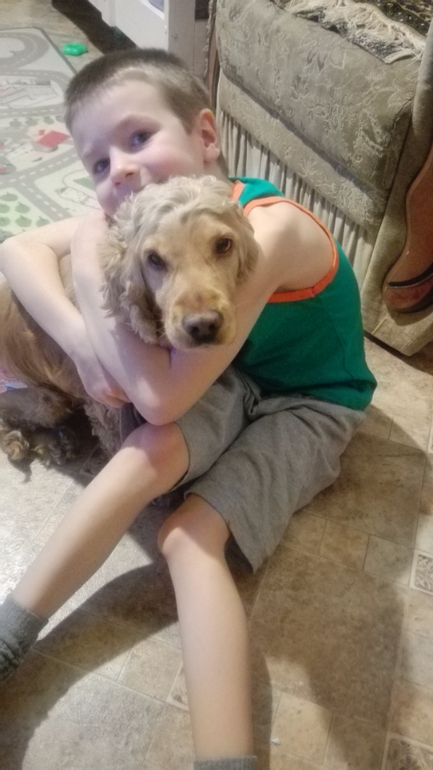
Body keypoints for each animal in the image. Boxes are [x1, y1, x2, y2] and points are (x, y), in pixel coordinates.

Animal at [0, 176, 259, 465]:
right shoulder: (106, 408)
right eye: (154, 259)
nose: (203, 326)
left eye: (223, 244)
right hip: (43, 401)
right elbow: (115, 442)